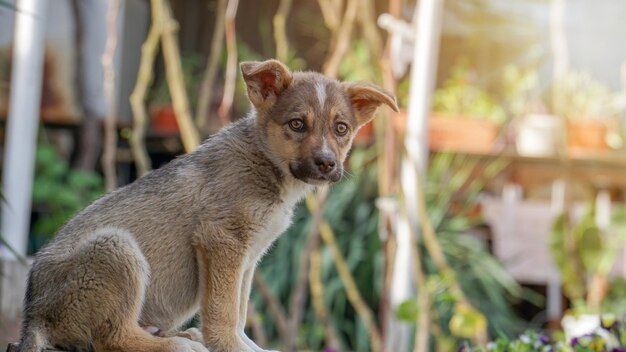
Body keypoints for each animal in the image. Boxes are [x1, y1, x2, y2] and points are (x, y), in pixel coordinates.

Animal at [19, 59, 398, 350]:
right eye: (297, 124)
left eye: (341, 128)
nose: (327, 164)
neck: (265, 163)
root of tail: (33, 317)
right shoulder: (220, 240)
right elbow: (223, 313)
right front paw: (229, 347)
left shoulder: (248, 258)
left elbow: (239, 312)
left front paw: (249, 347)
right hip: (116, 248)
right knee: (112, 338)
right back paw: (177, 344)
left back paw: (182, 334)